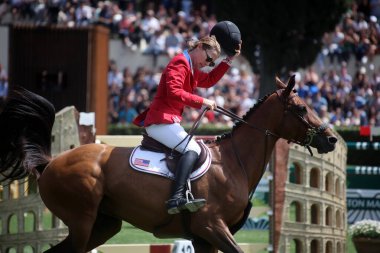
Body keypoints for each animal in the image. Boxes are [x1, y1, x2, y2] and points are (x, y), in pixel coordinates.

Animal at [0, 76, 336, 252]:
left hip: (102, 224)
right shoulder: (211, 226)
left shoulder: (203, 237)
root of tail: (52, 163)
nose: (332, 139)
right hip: (82, 221)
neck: (233, 163)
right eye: (301, 108)